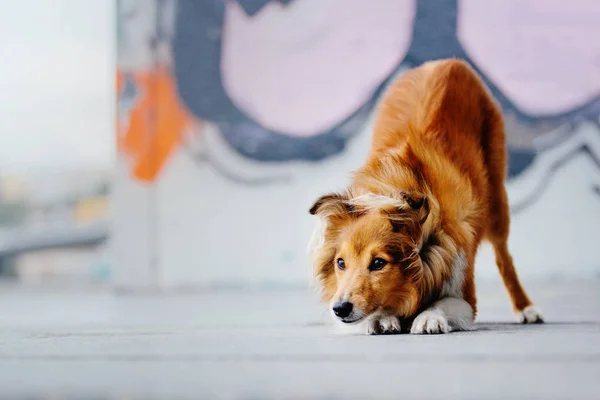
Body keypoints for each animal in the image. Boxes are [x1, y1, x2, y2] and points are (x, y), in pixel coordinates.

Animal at [310, 58, 544, 334]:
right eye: (340, 263)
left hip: (497, 200)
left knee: (504, 258)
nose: (340, 309)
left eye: (378, 263)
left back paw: (526, 309)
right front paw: (382, 318)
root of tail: (446, 62)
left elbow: (443, 303)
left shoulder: (462, 290)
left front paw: (429, 317)